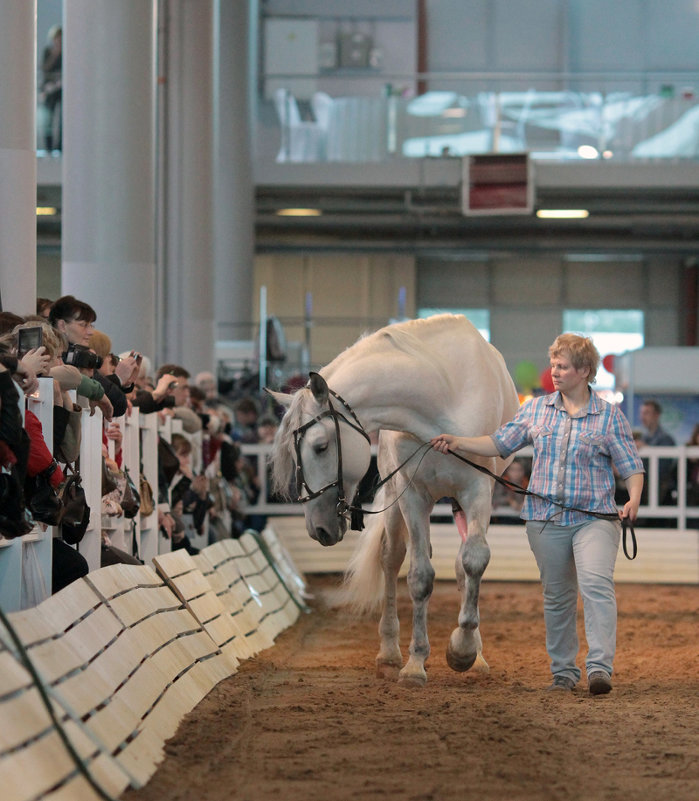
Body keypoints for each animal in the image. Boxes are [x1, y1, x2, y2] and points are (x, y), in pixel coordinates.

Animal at [270, 316, 524, 684]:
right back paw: (390, 651)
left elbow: (474, 561)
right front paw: (415, 663)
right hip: (397, 501)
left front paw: (463, 651)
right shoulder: (413, 495)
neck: (441, 399)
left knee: (462, 566)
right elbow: (419, 577)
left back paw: (475, 654)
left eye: (320, 446)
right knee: (391, 559)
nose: (318, 528)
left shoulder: (479, 490)